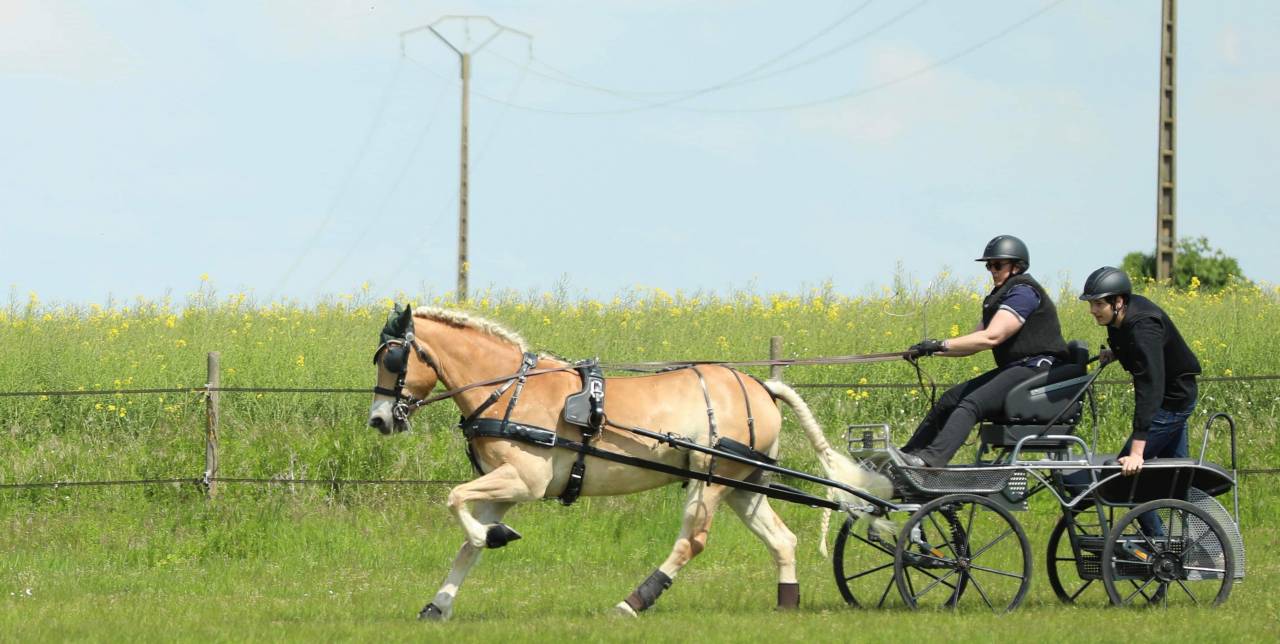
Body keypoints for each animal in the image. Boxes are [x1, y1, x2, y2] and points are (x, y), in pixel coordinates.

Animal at [367, 304, 891, 620]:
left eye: (392, 360)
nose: (378, 420)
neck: (511, 390)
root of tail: (762, 385)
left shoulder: (524, 480)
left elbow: (457, 503)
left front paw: (493, 536)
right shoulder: (505, 486)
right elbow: (465, 546)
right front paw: (439, 604)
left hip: (710, 481)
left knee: (692, 541)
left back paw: (634, 601)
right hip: (744, 484)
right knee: (782, 539)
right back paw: (787, 602)